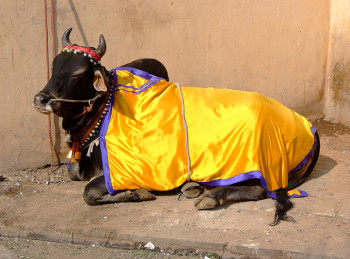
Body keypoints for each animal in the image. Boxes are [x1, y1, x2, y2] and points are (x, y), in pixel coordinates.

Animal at [33, 28, 320, 225]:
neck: (107, 106)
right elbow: (74, 175)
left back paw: (210, 196)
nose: (41, 99)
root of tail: (308, 128)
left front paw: (138, 194)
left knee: (260, 189)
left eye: (78, 73)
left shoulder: (127, 171)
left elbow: (89, 192)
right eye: (54, 65)